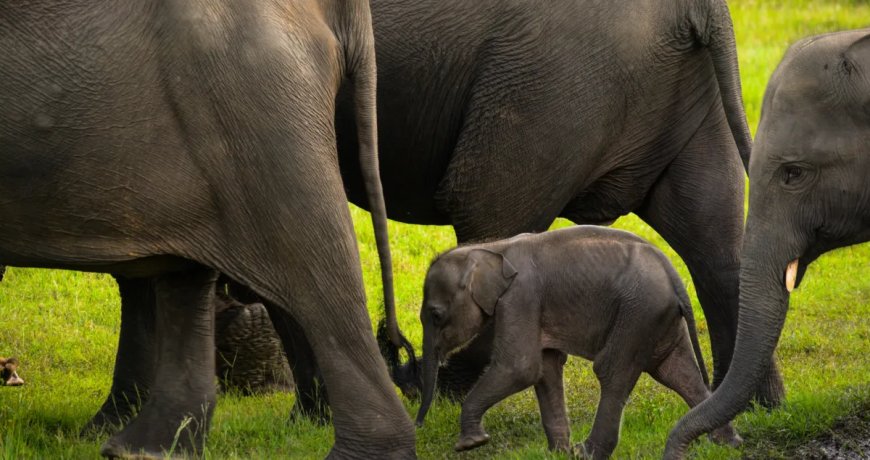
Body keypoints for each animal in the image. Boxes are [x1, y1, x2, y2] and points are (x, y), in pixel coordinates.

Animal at [335, 0, 784, 406]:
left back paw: (432, 388)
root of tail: (704, 8)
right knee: (714, 241)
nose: (395, 349)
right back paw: (751, 405)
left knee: (490, 219)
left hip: (548, 84)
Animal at [413, 226, 740, 458]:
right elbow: (545, 368)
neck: (491, 249)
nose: (418, 426)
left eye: (436, 315)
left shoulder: (521, 297)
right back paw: (727, 444)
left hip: (639, 311)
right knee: (678, 373)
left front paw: (470, 444)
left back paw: (588, 453)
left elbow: (519, 368)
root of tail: (673, 275)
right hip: (659, 318)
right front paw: (558, 453)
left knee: (612, 370)